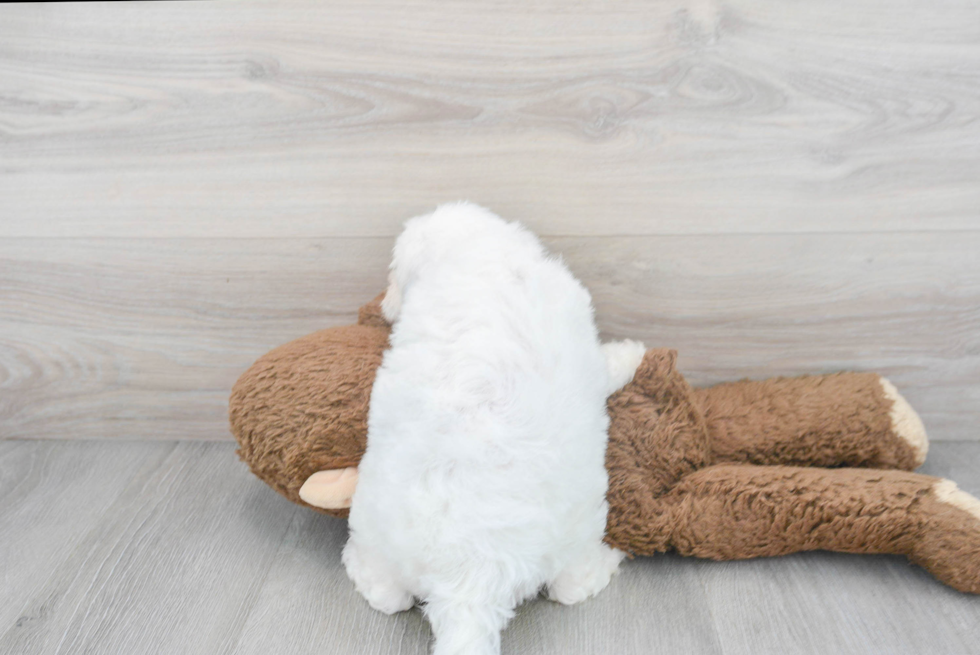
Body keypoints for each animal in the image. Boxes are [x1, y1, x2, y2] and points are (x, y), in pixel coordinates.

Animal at [340, 205, 624, 655]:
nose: (384, 305)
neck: (476, 252)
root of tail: (468, 586)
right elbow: (609, 364)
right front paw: (634, 354)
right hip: (576, 529)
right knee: (572, 586)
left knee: (388, 594)